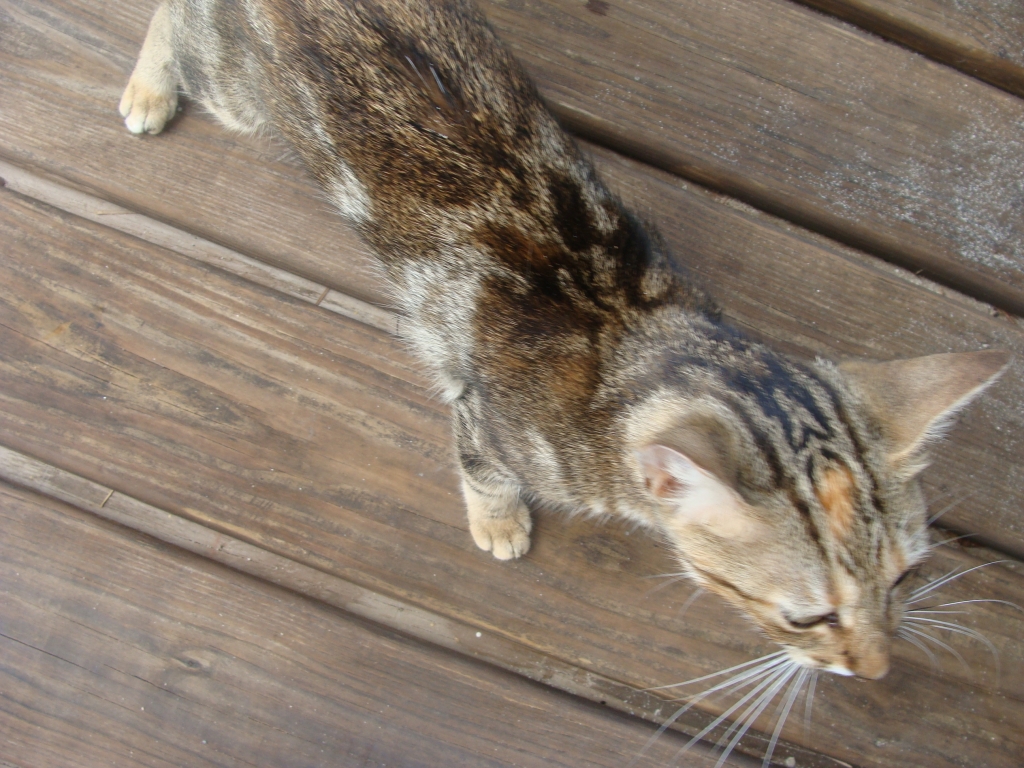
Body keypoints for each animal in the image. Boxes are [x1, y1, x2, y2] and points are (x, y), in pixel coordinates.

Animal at [121, 0, 1007, 684]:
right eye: (807, 617)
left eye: (907, 576)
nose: (878, 668)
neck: (635, 334)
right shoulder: (482, 414)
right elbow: (479, 465)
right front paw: (499, 519)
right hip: (234, 89)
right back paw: (148, 86)